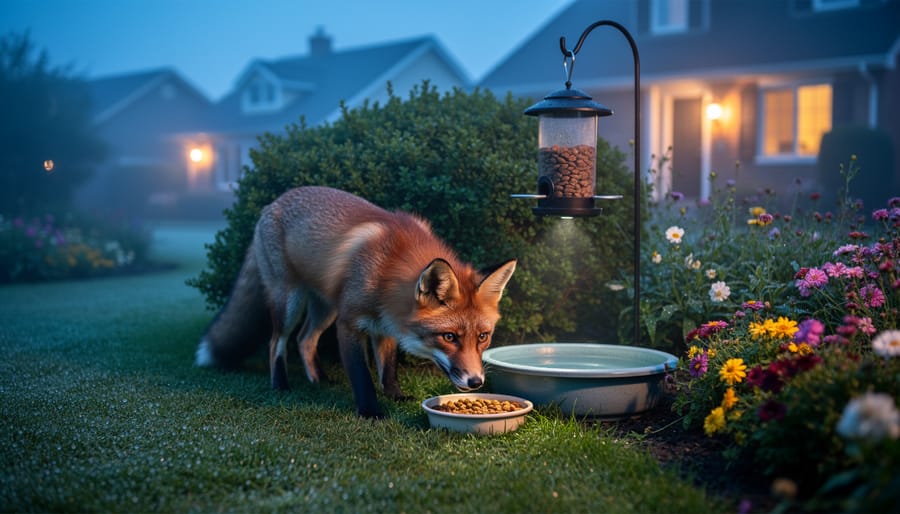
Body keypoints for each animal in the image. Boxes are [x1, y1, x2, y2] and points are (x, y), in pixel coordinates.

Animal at [195, 186, 516, 418]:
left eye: (483, 337)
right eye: (449, 337)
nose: (476, 382)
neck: (389, 264)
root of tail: (272, 203)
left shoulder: (385, 325)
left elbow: (388, 369)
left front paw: (395, 395)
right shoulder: (349, 323)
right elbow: (362, 376)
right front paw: (371, 411)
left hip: (324, 308)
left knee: (305, 339)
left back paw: (319, 380)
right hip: (290, 302)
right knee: (278, 341)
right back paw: (281, 386)